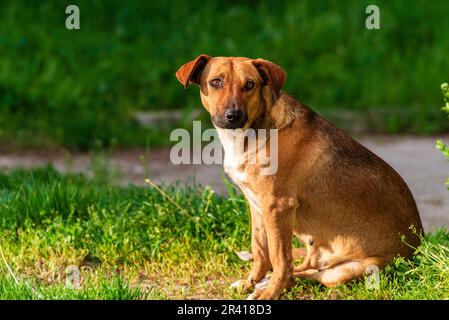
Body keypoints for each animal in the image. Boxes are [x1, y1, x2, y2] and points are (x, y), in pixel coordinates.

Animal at [174, 55, 420, 300]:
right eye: (215, 82)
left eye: (250, 85)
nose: (233, 116)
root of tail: (418, 249)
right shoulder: (258, 207)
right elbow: (260, 251)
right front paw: (250, 282)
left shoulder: (278, 207)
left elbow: (278, 258)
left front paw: (270, 292)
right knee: (302, 269)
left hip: (353, 269)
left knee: (306, 273)